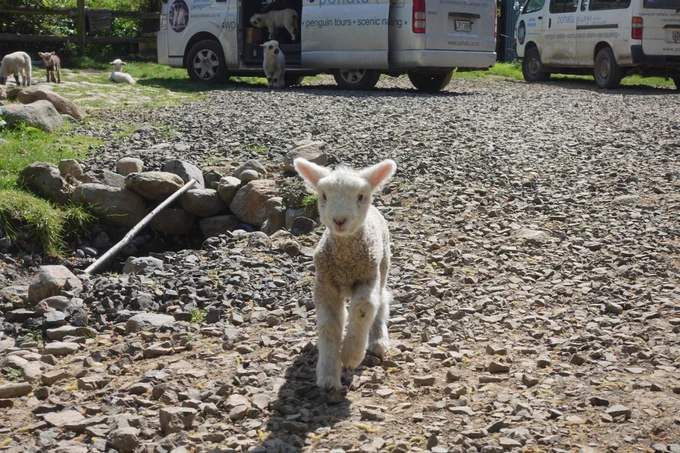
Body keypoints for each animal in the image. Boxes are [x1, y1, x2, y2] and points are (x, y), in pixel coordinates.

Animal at [293, 157, 397, 392]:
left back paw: (377, 341)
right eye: (323, 195)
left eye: (360, 196)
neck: (346, 262)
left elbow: (364, 307)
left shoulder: (368, 276)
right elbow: (329, 324)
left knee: (381, 301)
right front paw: (328, 377)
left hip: (383, 264)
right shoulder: (324, 283)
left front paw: (351, 356)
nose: (339, 220)